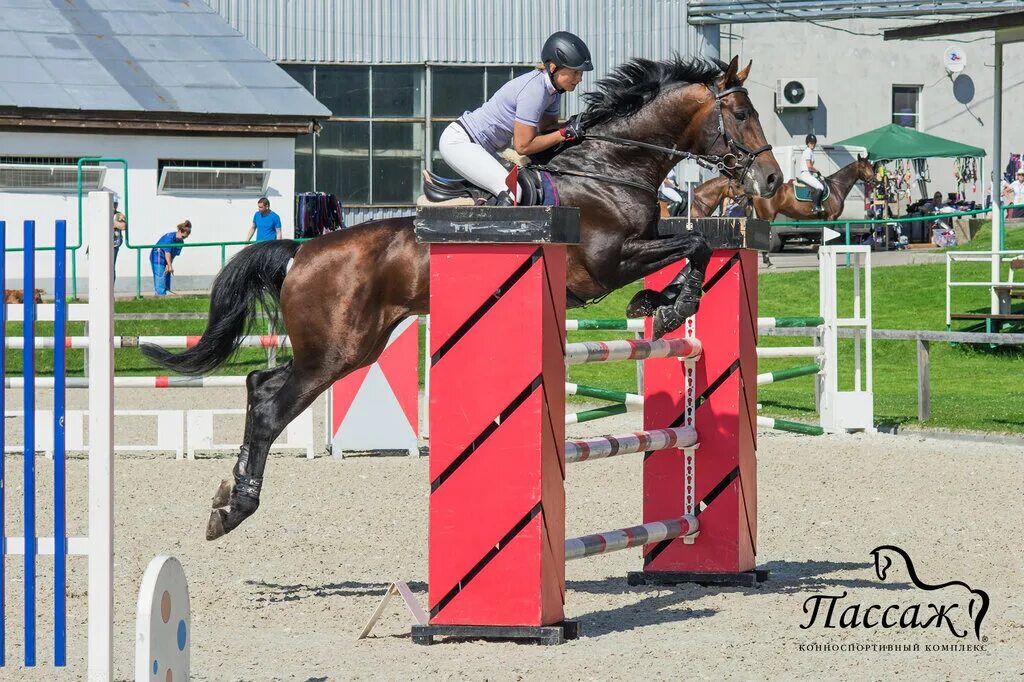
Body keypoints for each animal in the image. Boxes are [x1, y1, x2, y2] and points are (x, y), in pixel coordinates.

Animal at [140, 55, 778, 540]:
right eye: (740, 113)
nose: (770, 181)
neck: (608, 168)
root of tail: (300, 252)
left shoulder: (636, 247)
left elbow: (691, 241)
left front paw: (656, 302)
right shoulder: (606, 263)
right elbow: (695, 241)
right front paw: (669, 304)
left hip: (355, 347)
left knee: (258, 385)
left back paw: (230, 496)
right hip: (334, 352)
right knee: (271, 402)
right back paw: (235, 507)